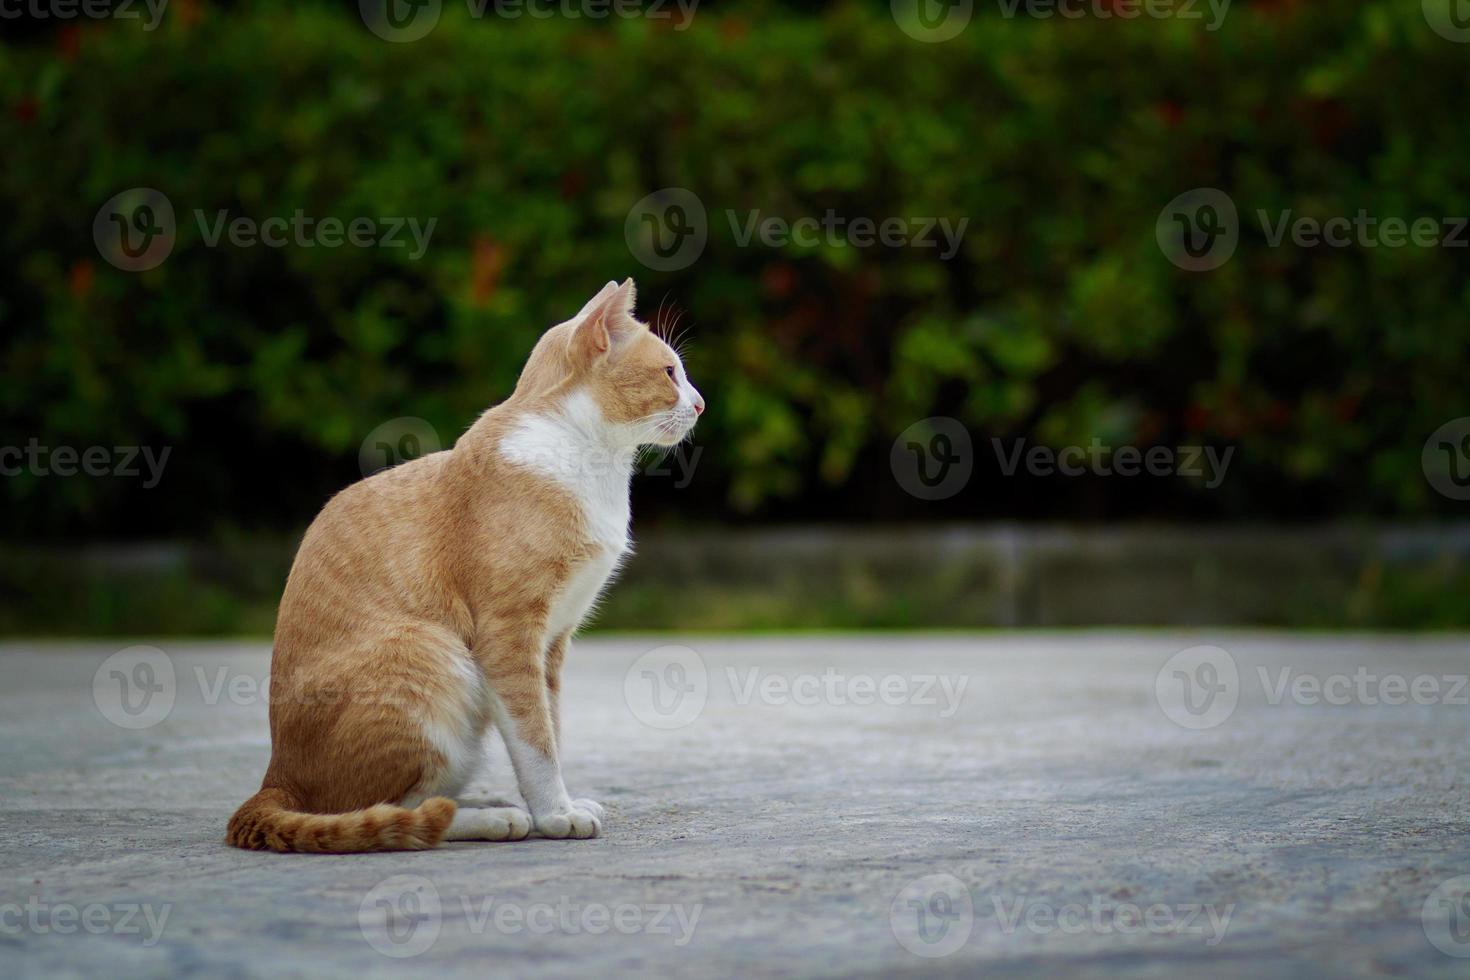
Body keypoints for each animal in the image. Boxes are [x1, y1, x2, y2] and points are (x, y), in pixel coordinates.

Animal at [227, 277, 705, 852]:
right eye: (670, 372)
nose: (700, 404)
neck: (589, 461)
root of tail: (276, 777)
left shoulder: (551, 643)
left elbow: (551, 728)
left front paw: (559, 803)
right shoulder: (508, 636)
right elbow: (535, 739)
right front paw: (554, 814)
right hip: (433, 652)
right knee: (395, 810)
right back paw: (491, 819)